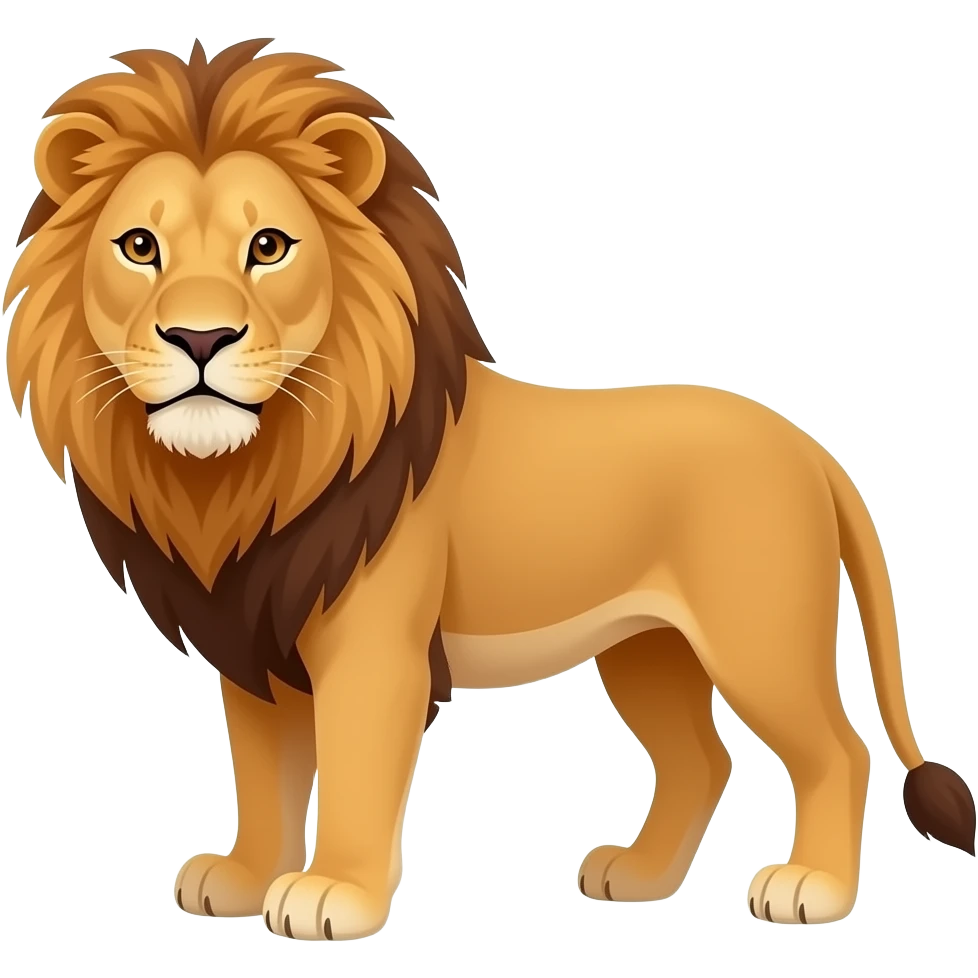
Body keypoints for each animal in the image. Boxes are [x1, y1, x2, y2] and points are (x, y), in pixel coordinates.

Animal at [4, 37, 974, 942]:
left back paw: (811, 889)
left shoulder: (373, 649)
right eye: (140, 247)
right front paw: (244, 878)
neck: (244, 474)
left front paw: (332, 893)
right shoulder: (255, 641)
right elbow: (264, 778)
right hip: (648, 649)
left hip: (757, 636)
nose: (200, 338)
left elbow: (353, 772)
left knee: (838, 752)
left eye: (268, 247)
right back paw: (640, 876)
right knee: (703, 761)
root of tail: (810, 447)